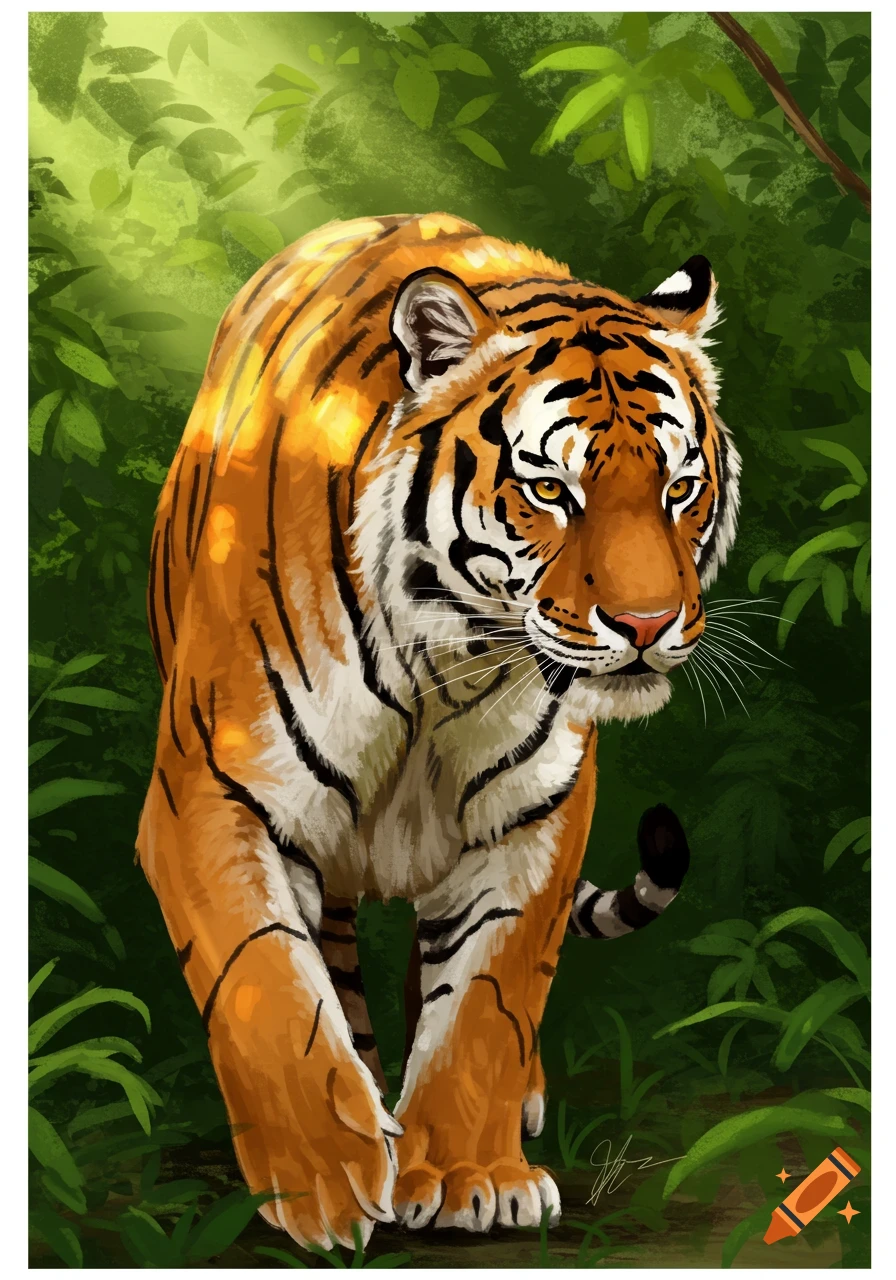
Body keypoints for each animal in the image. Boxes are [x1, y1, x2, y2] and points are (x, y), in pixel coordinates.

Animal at [136, 212, 739, 1248]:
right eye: (553, 493)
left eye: (678, 487)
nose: (648, 623)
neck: (449, 665)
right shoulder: (211, 792)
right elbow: (266, 985)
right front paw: (321, 1184)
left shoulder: (533, 816)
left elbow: (487, 1004)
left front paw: (467, 1174)